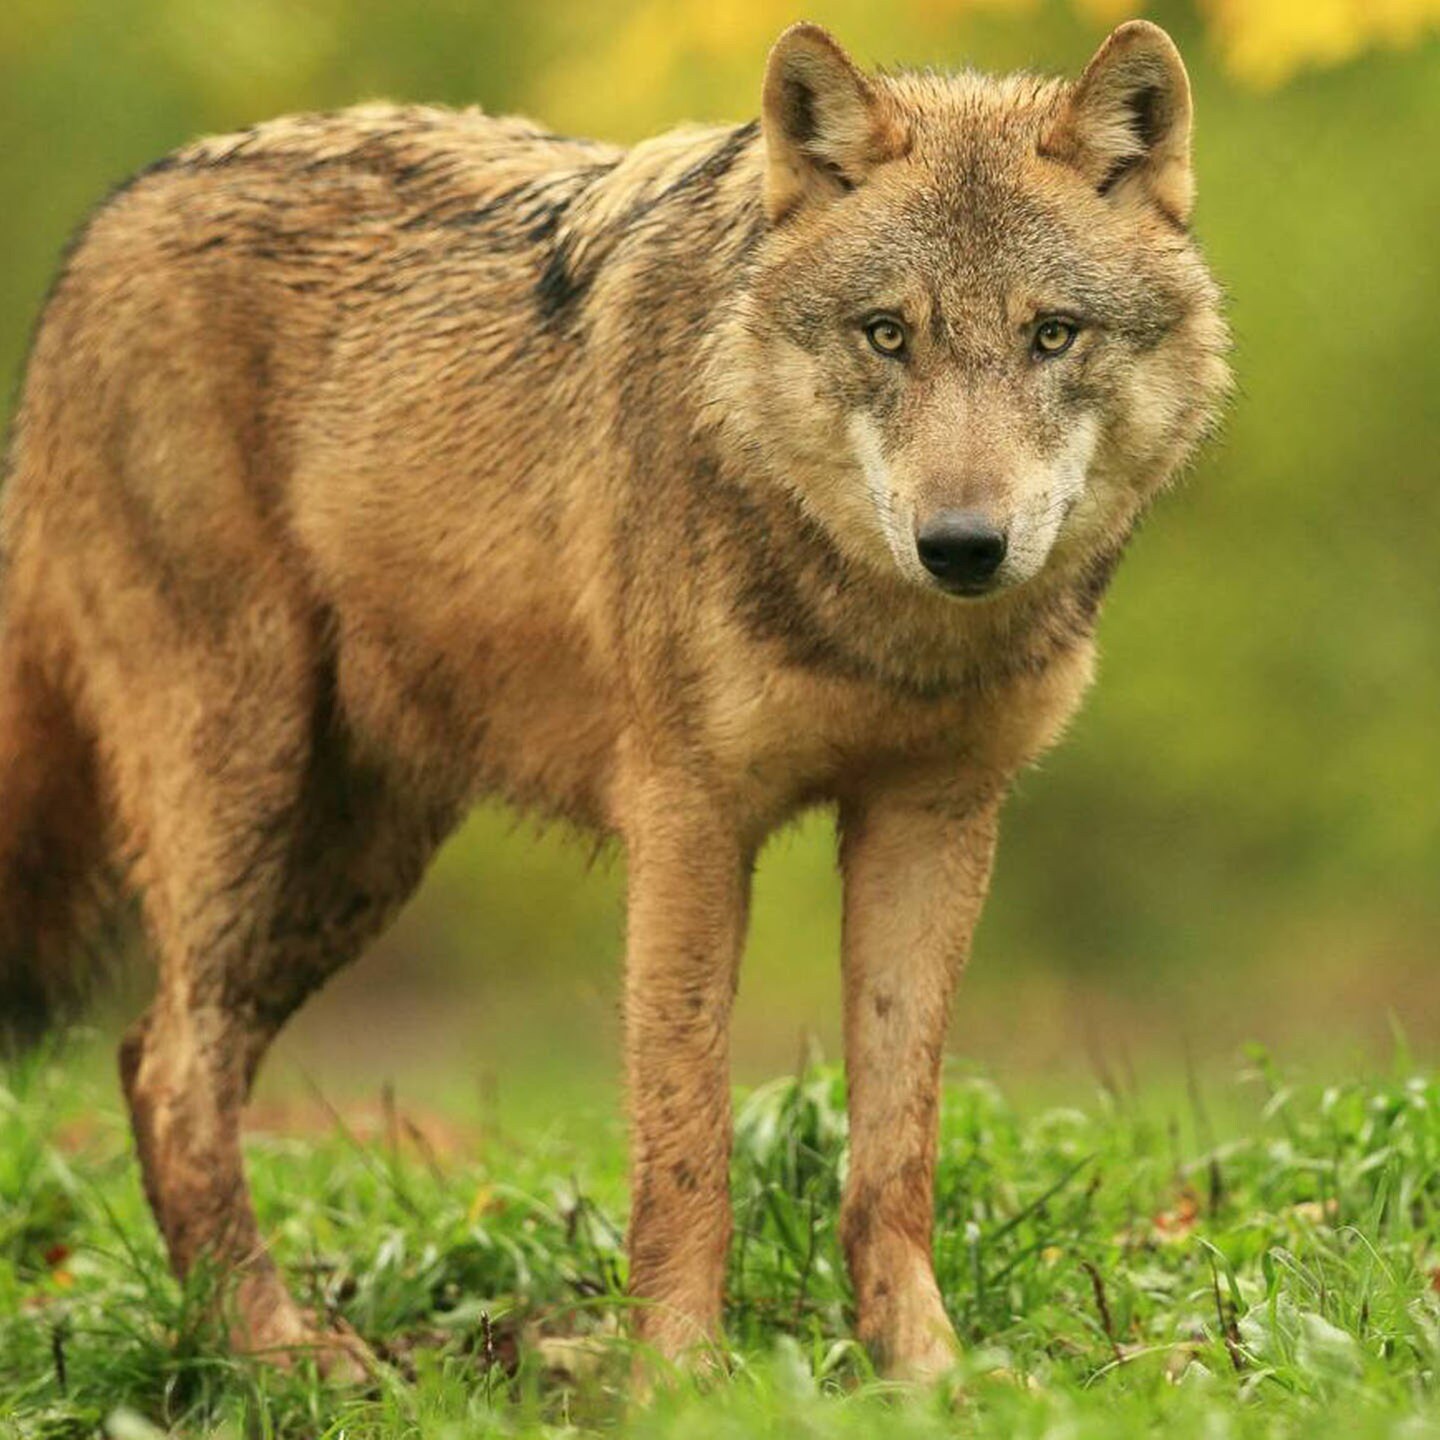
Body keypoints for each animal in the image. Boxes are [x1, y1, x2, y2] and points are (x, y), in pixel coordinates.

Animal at [0, 20, 1227, 1379]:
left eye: (1052, 335)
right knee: (173, 1064)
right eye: (887, 335)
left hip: (351, 864)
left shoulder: (934, 816)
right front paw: (682, 1379)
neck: (881, 631)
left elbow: (895, 1149)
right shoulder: (686, 819)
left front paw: (927, 1372)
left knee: (148, 1054)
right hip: (247, 795)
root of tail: (106, 220)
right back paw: (280, 1352)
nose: (962, 545)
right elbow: (685, 1146)